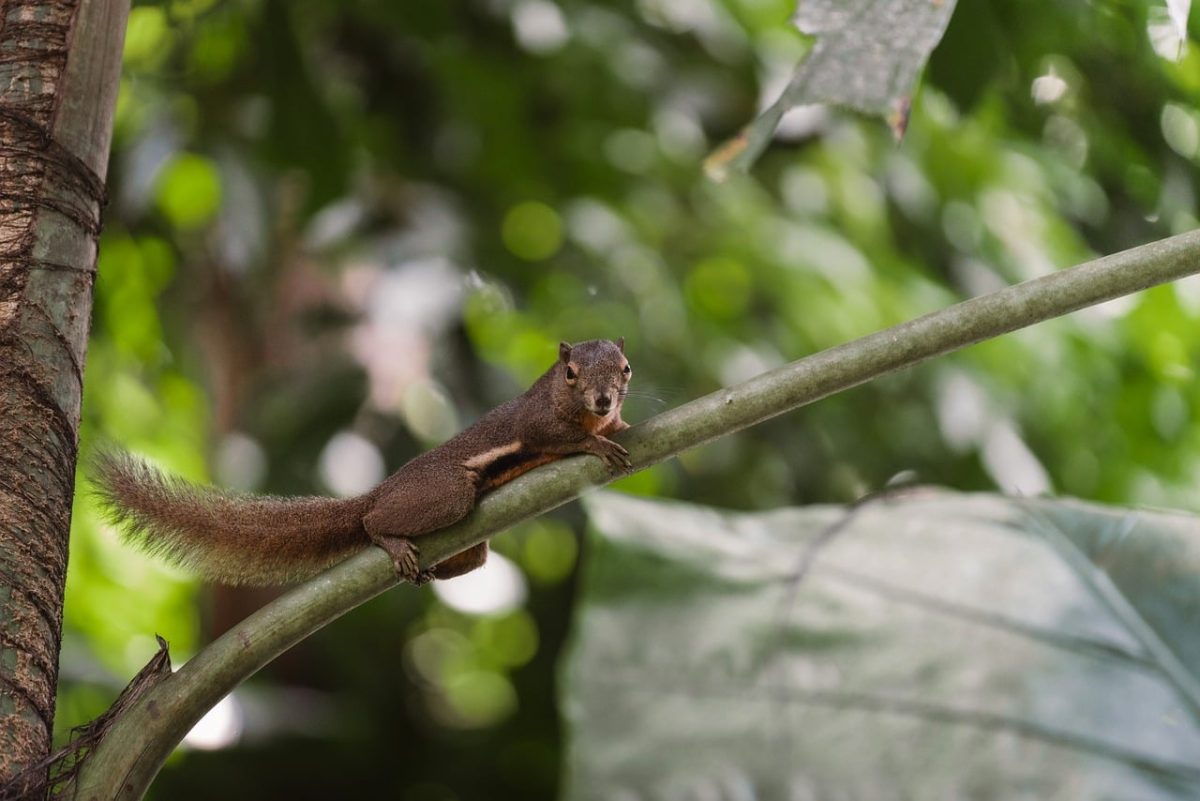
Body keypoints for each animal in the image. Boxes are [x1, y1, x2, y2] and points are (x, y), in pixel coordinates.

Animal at [93, 338, 633, 586]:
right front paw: (596, 445)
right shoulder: (536, 422)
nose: (605, 399)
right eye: (570, 373)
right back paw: (387, 537)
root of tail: (382, 489)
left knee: (473, 557)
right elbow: (555, 437)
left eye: (626, 369)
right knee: (374, 521)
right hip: (446, 494)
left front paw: (619, 428)